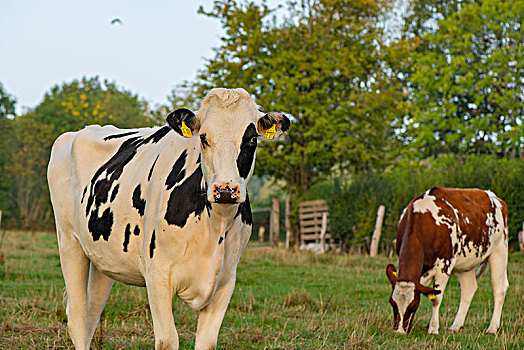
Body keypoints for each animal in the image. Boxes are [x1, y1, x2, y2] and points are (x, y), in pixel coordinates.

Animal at [46, 89, 288, 348]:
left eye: (252, 139)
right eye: (203, 138)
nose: (225, 190)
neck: (214, 228)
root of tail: (77, 132)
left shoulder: (225, 282)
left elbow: (207, 342)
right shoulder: (157, 275)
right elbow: (167, 340)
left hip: (102, 256)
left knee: (92, 312)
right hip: (69, 242)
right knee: (77, 318)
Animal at [384, 187, 508, 334]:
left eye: (413, 306)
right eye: (392, 303)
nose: (400, 331)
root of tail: (494, 197)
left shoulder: (444, 265)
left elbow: (436, 298)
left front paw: (433, 328)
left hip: (500, 251)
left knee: (499, 289)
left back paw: (492, 328)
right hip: (468, 263)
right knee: (468, 290)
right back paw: (456, 326)